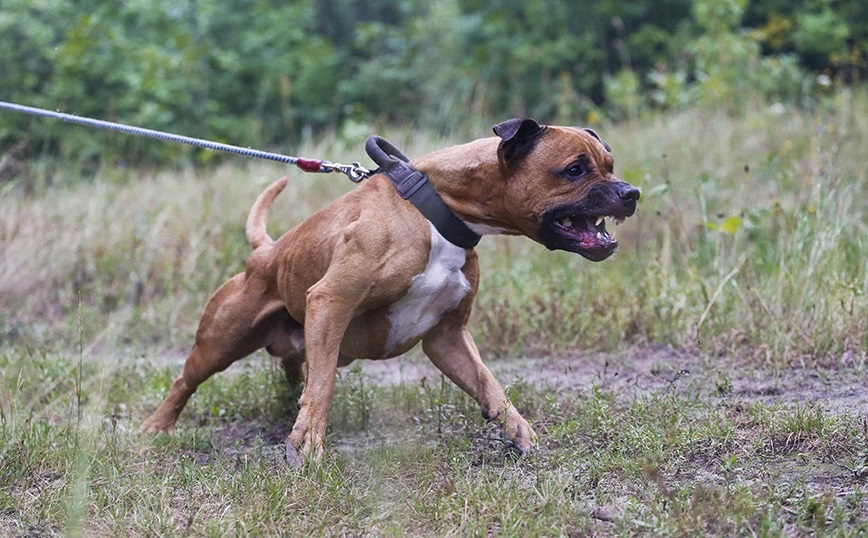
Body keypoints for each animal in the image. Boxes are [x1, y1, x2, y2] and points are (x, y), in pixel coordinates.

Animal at [141, 117, 636, 460]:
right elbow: (322, 387)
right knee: (186, 381)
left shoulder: (448, 337)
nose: (631, 193)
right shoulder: (331, 301)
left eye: (611, 165)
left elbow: (491, 386)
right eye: (574, 170)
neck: (438, 210)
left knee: (293, 366)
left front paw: (517, 430)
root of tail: (267, 251)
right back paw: (157, 426)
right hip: (219, 344)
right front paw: (307, 445)